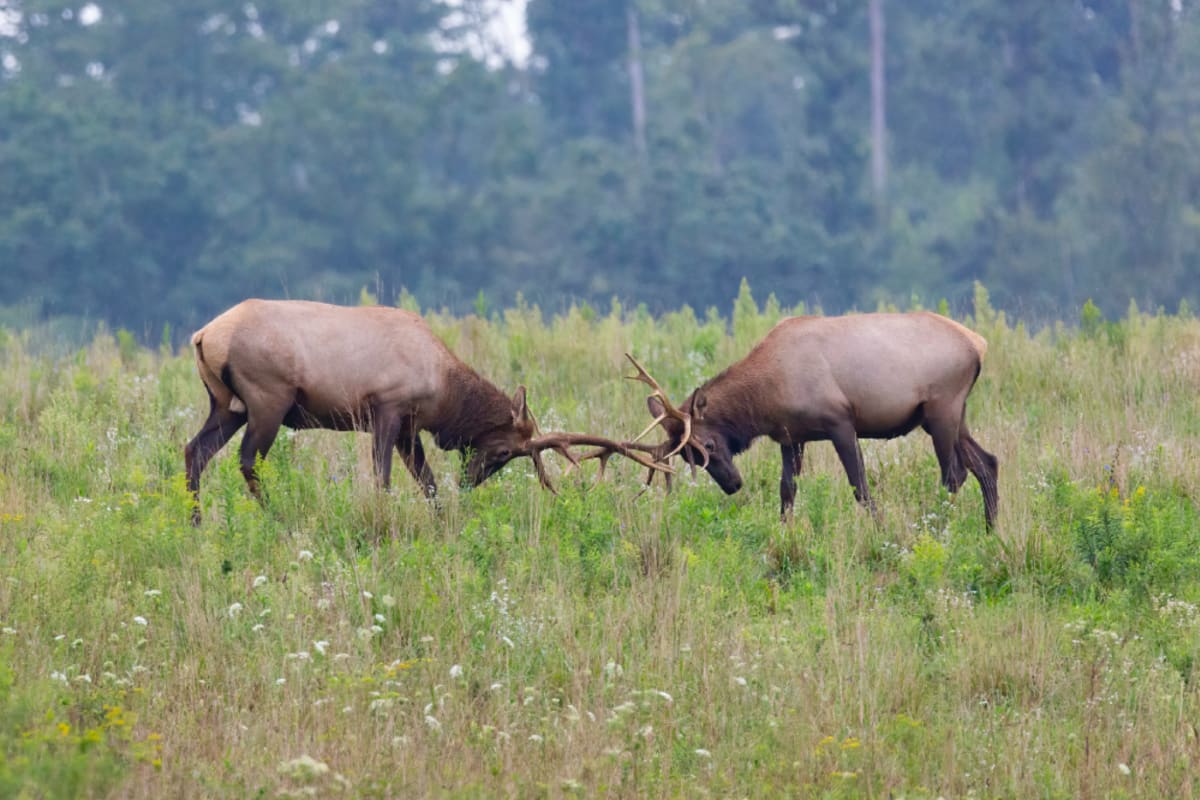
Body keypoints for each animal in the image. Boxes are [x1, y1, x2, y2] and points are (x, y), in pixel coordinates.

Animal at [184, 299, 667, 525]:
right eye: (504, 452)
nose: (469, 482)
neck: (444, 392)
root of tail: (203, 335)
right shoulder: (387, 406)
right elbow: (383, 478)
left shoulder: (408, 427)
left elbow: (427, 481)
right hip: (268, 398)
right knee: (249, 461)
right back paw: (277, 517)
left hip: (227, 405)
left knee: (194, 451)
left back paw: (195, 522)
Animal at [624, 311, 998, 532]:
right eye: (684, 454)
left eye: (709, 444)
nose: (733, 484)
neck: (765, 397)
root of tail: (979, 344)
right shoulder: (791, 436)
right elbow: (787, 489)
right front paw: (784, 532)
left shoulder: (841, 422)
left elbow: (860, 487)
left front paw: (881, 530)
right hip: (951, 414)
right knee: (987, 462)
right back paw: (991, 529)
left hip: (942, 408)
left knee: (954, 474)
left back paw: (939, 527)